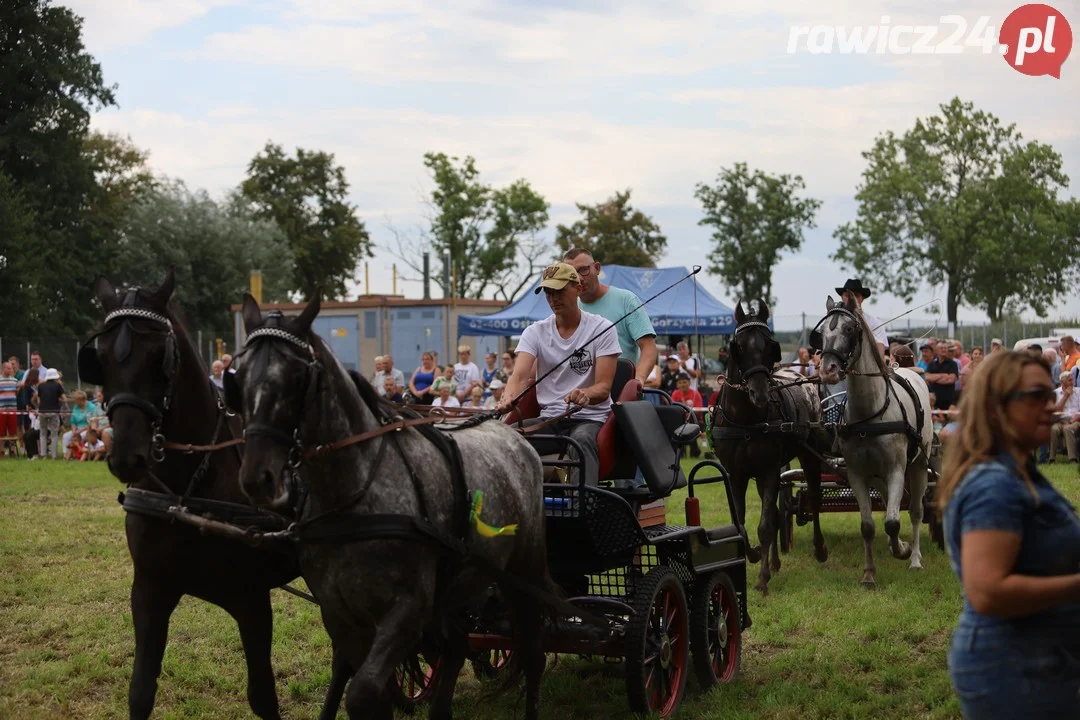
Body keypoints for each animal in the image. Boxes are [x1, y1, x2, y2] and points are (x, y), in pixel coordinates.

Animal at [79, 272, 300, 720]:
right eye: (102, 357)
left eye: (158, 356)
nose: (127, 455)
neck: (185, 494)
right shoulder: (150, 590)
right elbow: (140, 691)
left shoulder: (251, 600)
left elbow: (263, 696)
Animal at [225, 293, 548, 720]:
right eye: (238, 378)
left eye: (296, 378)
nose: (256, 478)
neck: (352, 498)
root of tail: (515, 433)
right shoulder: (339, 612)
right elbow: (350, 674)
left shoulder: (407, 610)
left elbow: (362, 692)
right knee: (458, 645)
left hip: (522, 571)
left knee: (532, 651)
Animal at [708, 302, 825, 595]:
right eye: (738, 346)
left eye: (770, 345)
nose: (759, 393)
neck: (745, 420)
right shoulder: (737, 474)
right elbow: (742, 524)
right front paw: (755, 555)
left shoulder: (770, 470)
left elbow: (764, 525)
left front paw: (761, 579)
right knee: (774, 514)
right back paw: (773, 562)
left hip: (809, 455)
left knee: (814, 500)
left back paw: (819, 549)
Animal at [812, 295, 933, 587]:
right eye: (821, 334)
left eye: (849, 329)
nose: (828, 371)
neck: (870, 413)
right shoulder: (857, 473)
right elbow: (869, 525)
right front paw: (869, 574)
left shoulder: (897, 470)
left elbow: (893, 521)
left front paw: (904, 551)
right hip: (878, 476)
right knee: (890, 502)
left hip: (918, 465)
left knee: (914, 511)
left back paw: (914, 558)